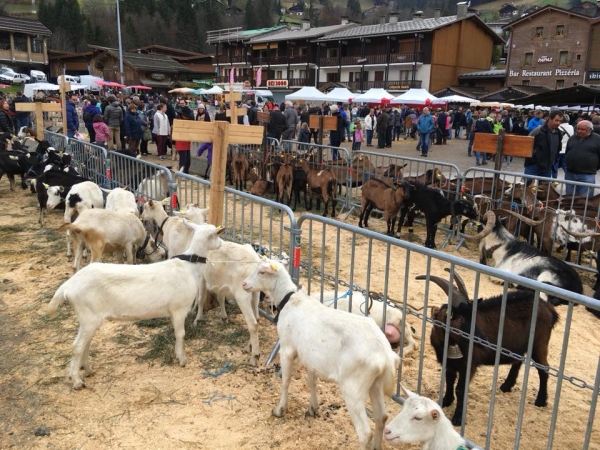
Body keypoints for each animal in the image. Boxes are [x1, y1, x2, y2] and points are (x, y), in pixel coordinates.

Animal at [47, 222, 225, 389]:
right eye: (217, 234)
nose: (222, 244)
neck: (190, 267)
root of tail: (68, 286)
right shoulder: (179, 309)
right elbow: (180, 334)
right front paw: (182, 359)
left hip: (88, 318)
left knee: (85, 344)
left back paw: (88, 370)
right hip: (88, 315)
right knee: (77, 346)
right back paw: (77, 381)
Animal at [242, 259, 401, 450]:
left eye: (262, 272)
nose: (244, 284)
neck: (290, 301)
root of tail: (385, 353)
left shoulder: (287, 348)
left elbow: (286, 381)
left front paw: (280, 409)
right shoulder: (312, 358)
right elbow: (312, 381)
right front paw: (313, 407)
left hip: (353, 387)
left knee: (364, 432)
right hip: (375, 384)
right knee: (381, 417)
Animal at [419, 271, 559, 426]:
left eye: (474, 317)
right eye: (459, 319)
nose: (483, 339)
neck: (452, 344)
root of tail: (549, 309)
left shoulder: (469, 365)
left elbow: (460, 389)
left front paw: (457, 418)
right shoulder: (449, 363)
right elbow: (449, 381)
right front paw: (445, 401)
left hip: (539, 343)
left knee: (544, 368)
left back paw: (541, 400)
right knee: (519, 360)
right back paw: (507, 386)